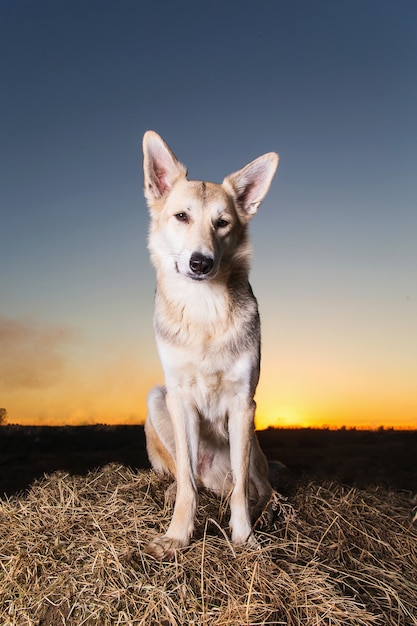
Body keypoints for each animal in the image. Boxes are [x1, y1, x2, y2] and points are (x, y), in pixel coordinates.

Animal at [141, 130, 278, 556]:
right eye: (181, 217)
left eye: (222, 223)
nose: (200, 263)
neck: (204, 312)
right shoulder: (180, 397)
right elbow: (187, 483)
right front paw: (178, 535)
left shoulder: (243, 404)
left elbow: (242, 493)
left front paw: (244, 537)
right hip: (158, 399)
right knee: (191, 479)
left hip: (251, 438)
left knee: (258, 487)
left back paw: (267, 511)